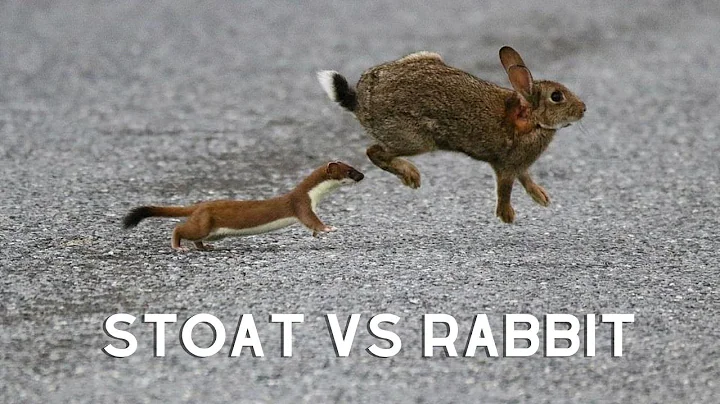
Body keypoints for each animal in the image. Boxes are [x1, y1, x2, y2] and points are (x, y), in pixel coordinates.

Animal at [317, 46, 586, 223]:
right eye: (557, 97)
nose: (583, 109)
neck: (531, 118)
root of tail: (361, 103)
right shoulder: (506, 165)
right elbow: (505, 188)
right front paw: (506, 216)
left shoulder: (519, 165)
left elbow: (526, 179)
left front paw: (542, 198)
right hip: (414, 138)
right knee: (374, 151)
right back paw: (411, 176)